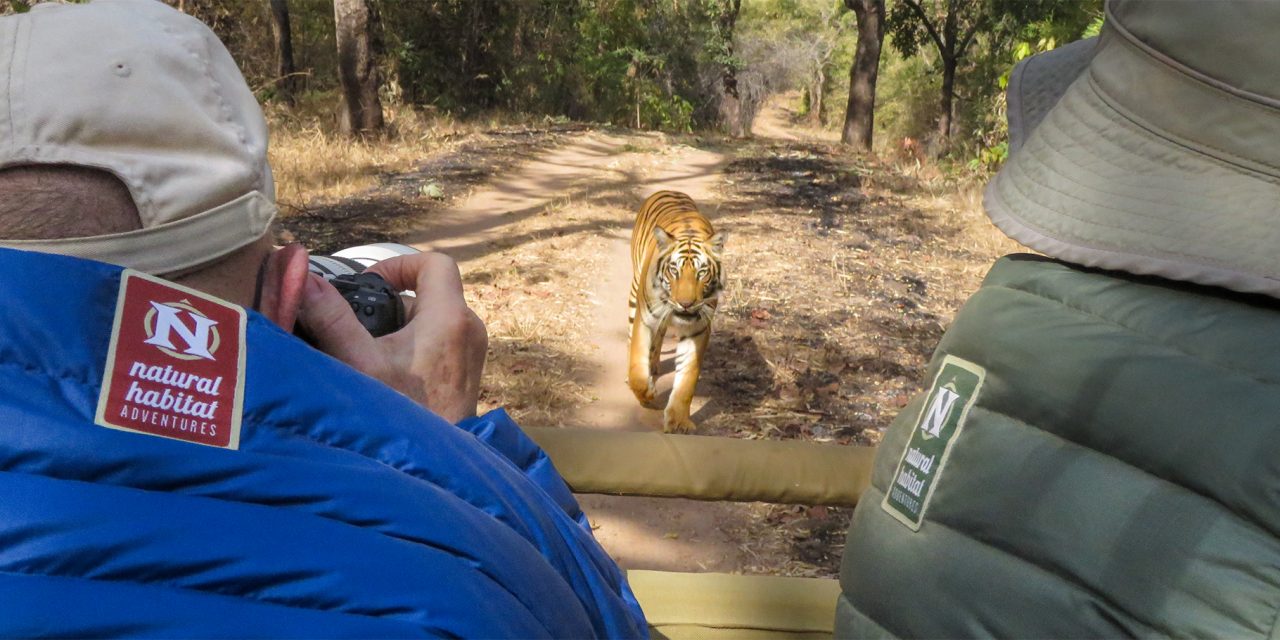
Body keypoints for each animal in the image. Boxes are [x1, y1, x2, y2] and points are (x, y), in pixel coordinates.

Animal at [627, 190, 726, 433]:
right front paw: (646, 395)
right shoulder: (645, 320)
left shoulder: (697, 329)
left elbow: (687, 379)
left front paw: (679, 422)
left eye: (702, 272)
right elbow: (637, 365)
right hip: (635, 294)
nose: (686, 303)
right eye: (674, 270)